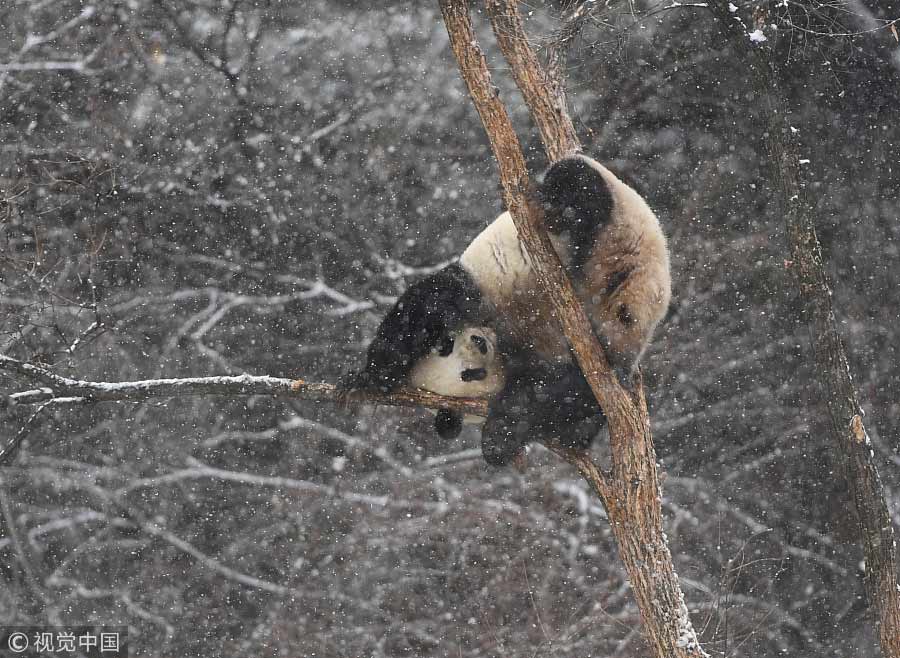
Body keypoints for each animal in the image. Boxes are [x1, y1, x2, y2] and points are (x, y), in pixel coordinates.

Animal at [343, 154, 671, 466]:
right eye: (470, 374)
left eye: (446, 345)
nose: (479, 342)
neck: (500, 335)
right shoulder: (532, 358)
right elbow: (554, 393)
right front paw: (501, 439)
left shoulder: (474, 293)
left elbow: (421, 310)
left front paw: (366, 379)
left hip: (617, 217)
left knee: (579, 186)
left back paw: (551, 210)